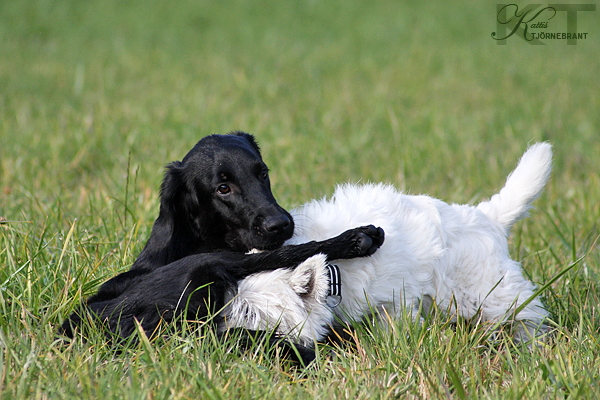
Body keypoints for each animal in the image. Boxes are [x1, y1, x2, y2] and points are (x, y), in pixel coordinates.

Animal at [220, 144, 552, 346]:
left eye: (250, 313)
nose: (215, 331)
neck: (334, 267)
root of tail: (489, 217)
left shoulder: (398, 295)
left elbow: (397, 323)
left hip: (489, 292)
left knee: (526, 311)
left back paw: (529, 344)